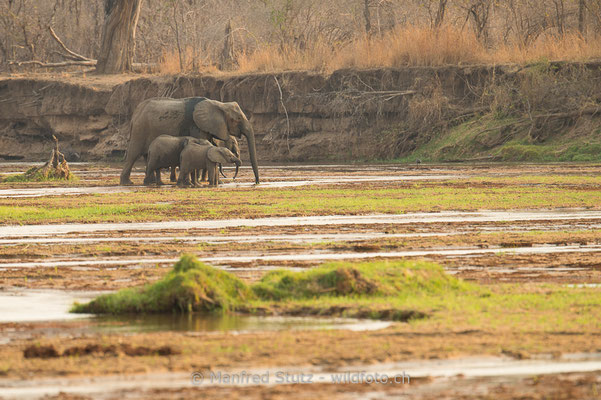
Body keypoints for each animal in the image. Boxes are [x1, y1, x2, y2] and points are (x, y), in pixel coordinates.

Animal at [120, 97, 258, 185]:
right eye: (238, 119)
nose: (256, 182)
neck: (219, 104)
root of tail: (135, 114)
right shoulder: (196, 126)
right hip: (140, 129)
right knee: (133, 154)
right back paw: (128, 183)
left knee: (146, 156)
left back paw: (153, 182)